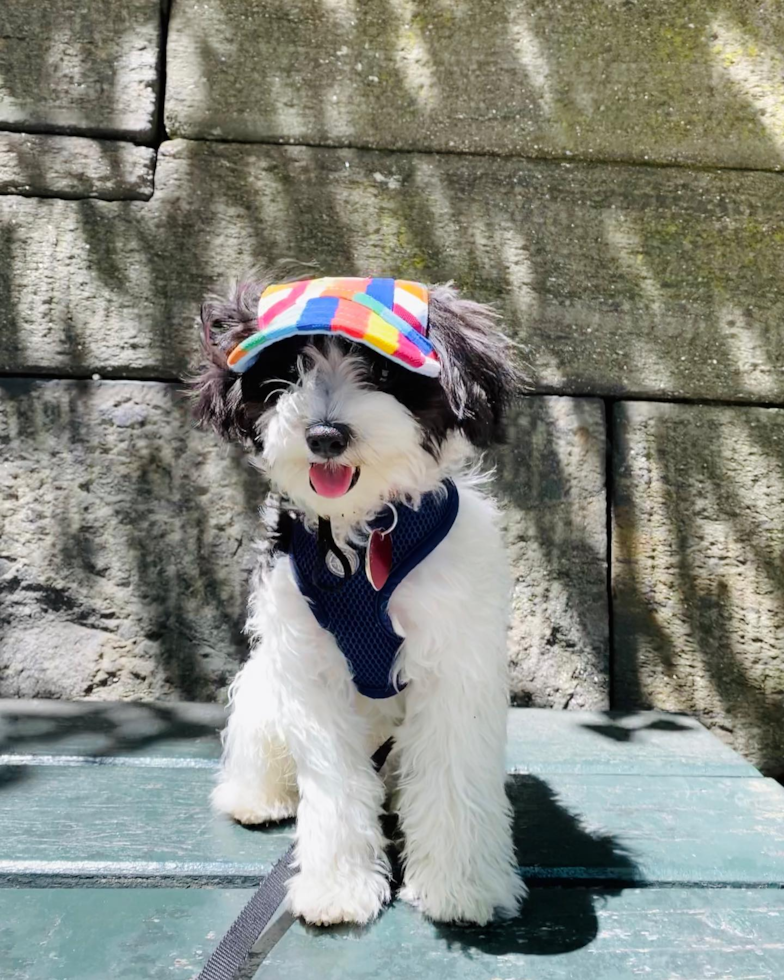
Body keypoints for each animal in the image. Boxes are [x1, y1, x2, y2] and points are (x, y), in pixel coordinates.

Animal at [191, 274, 528, 928]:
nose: (325, 435)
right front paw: (338, 888)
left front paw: (461, 886)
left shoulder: (455, 659)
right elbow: (335, 784)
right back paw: (255, 796)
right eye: (286, 373)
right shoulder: (309, 665)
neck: (364, 531)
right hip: (265, 688)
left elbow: (452, 770)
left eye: (381, 371)